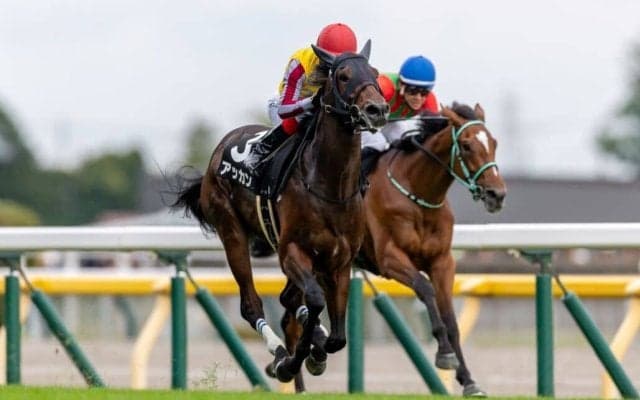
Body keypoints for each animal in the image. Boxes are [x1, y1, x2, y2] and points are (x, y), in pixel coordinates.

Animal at [170, 41, 389, 383]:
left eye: (375, 73)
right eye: (343, 75)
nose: (376, 110)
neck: (331, 187)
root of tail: (221, 147)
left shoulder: (339, 261)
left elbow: (338, 337)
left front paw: (316, 350)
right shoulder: (292, 251)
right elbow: (314, 302)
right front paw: (293, 361)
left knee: (290, 299)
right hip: (232, 232)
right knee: (251, 304)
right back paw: (279, 352)